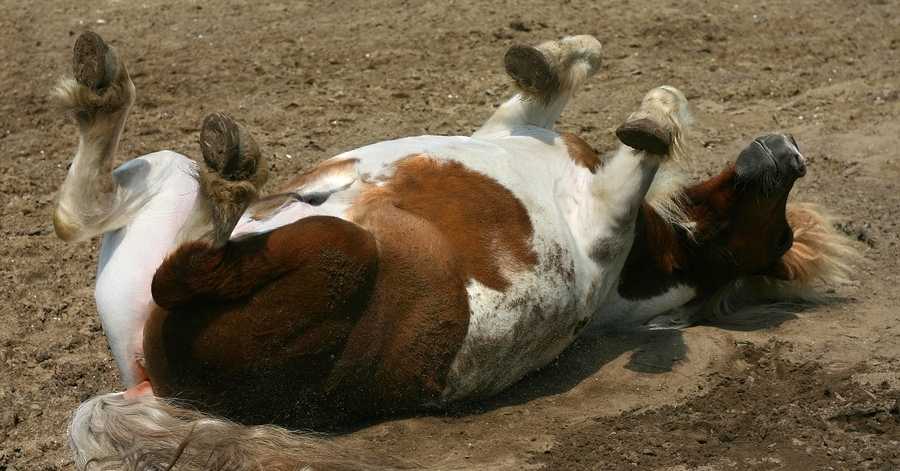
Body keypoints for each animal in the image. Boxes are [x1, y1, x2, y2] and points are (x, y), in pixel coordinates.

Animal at [52, 32, 854, 470]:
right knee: (85, 210)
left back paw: (230, 180)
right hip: (164, 186)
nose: (790, 150)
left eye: (780, 236)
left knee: (176, 262)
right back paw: (115, 96)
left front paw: (653, 116)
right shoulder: (512, 130)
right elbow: (556, 81)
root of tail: (164, 387)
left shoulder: (603, 222)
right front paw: (554, 57)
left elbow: (653, 129)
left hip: (337, 248)